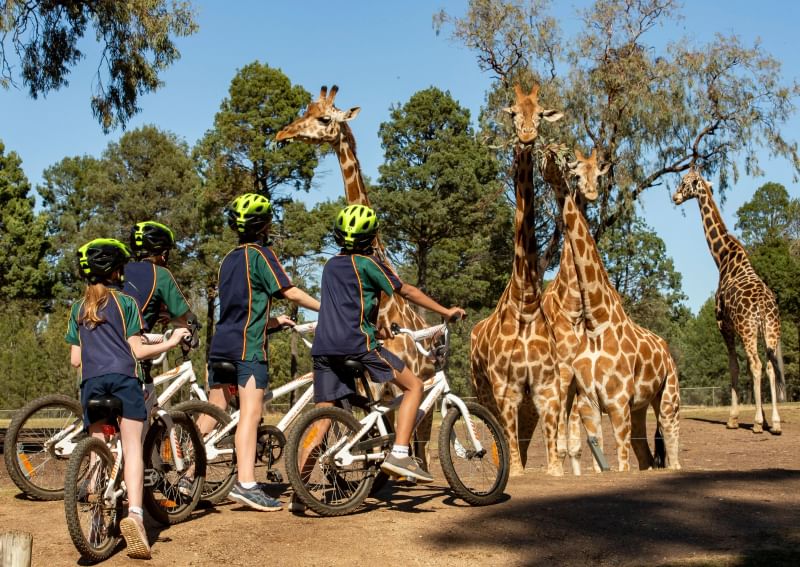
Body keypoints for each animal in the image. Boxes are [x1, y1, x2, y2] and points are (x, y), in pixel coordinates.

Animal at [275, 85, 437, 460]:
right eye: (305, 110)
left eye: (324, 118)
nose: (282, 135)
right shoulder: (375, 387)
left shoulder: (394, 387)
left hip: (423, 392)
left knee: (422, 440)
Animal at [545, 146, 681, 471]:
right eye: (575, 172)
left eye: (598, 174)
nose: (591, 193)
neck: (595, 322)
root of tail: (666, 349)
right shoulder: (588, 401)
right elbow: (594, 453)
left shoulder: (618, 402)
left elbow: (618, 459)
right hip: (638, 406)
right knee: (645, 454)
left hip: (667, 399)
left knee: (669, 451)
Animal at [673, 169, 784, 434]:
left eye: (684, 182)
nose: (675, 197)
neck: (722, 257)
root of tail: (763, 307)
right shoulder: (741, 329)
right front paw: (765, 419)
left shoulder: (724, 325)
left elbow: (734, 367)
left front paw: (734, 418)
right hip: (770, 330)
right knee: (770, 366)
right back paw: (775, 424)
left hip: (748, 328)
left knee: (756, 365)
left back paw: (756, 424)